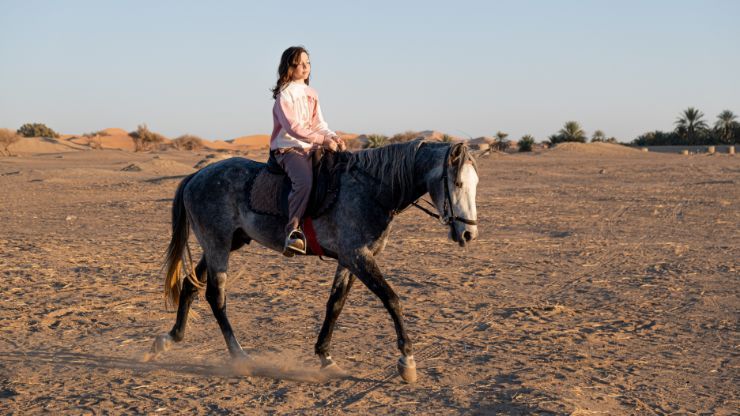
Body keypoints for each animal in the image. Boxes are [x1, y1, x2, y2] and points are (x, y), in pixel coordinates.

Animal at [147, 141, 480, 384]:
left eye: (475, 184)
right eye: (458, 183)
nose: (468, 233)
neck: (372, 190)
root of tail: (196, 177)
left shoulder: (349, 260)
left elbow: (335, 305)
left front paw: (325, 357)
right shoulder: (359, 257)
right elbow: (392, 299)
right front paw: (407, 361)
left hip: (225, 243)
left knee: (190, 286)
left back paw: (168, 340)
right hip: (217, 245)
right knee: (215, 297)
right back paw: (239, 357)